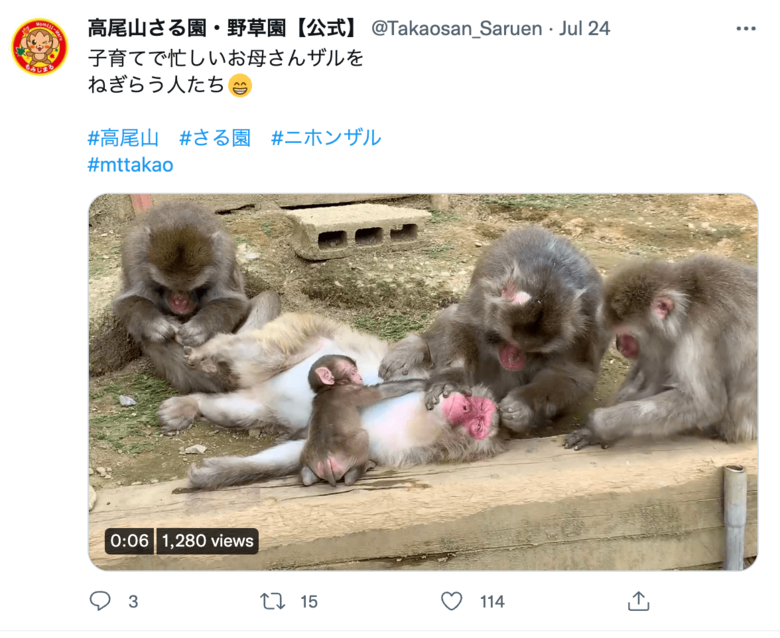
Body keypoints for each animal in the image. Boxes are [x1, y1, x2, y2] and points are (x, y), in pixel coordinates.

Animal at [112, 202, 251, 393]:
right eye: (167, 286)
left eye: (194, 287)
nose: (180, 302)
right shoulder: (134, 255)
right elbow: (129, 300)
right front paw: (156, 324)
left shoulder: (224, 257)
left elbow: (234, 302)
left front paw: (198, 329)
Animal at [300, 354, 427, 487]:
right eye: (353, 371)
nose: (360, 377)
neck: (327, 389)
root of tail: (325, 460)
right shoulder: (350, 390)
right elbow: (382, 391)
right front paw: (425, 383)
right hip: (346, 455)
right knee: (362, 436)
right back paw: (358, 470)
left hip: (311, 458)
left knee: (307, 478)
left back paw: (307, 475)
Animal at [379, 226, 611, 435]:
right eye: (506, 340)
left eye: (533, 351)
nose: (513, 359)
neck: (549, 276)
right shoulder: (486, 291)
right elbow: (464, 324)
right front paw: (450, 381)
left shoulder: (588, 322)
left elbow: (576, 374)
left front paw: (522, 406)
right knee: (451, 315)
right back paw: (415, 348)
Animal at [564, 254, 757, 450]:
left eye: (625, 334)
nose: (619, 346)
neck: (690, 303)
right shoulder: (662, 341)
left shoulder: (695, 337)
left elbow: (703, 404)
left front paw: (597, 426)